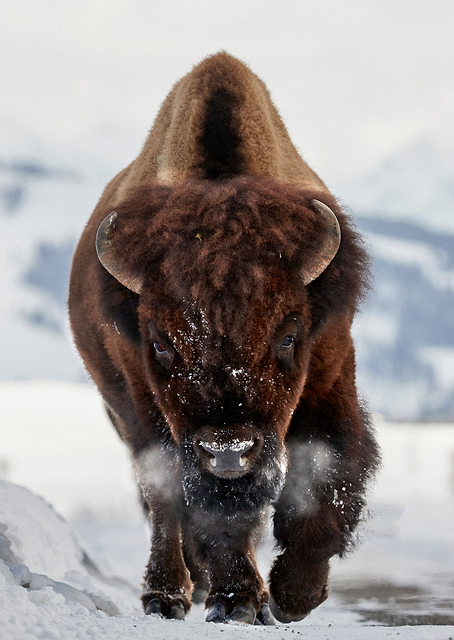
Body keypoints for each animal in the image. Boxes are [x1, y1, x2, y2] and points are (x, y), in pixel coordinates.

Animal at [69, 52, 379, 625]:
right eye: (160, 343)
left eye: (289, 335)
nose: (228, 452)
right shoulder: (150, 409)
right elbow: (204, 509)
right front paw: (238, 600)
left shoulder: (330, 377)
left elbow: (329, 475)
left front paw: (294, 595)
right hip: (128, 415)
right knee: (163, 501)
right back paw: (169, 595)